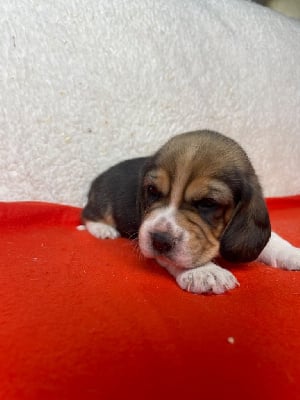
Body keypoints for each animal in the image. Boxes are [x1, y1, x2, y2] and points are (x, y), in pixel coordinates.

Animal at [81, 130, 300, 294]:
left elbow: (273, 239)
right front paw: (205, 272)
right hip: (103, 202)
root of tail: (97, 178)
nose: (159, 240)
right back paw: (103, 230)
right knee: (87, 214)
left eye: (208, 203)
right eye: (152, 190)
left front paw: (292, 253)